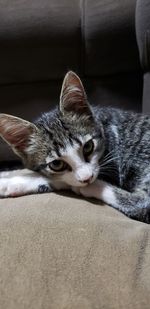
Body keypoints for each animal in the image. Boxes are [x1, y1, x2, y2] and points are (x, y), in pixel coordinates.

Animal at [0, 71, 150, 223]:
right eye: (56, 164)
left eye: (88, 146)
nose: (87, 178)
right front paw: (8, 177)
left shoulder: (113, 166)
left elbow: (60, 180)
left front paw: (14, 180)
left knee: (142, 203)